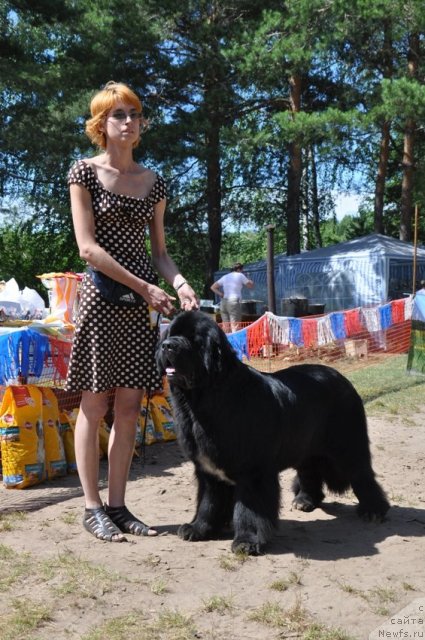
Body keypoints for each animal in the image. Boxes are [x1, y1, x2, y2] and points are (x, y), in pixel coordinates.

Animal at [156, 312, 388, 556]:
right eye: (170, 334)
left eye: (193, 340)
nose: (167, 345)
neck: (203, 402)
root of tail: (340, 377)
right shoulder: (208, 471)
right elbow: (208, 502)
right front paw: (199, 528)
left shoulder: (252, 471)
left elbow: (249, 509)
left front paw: (247, 541)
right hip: (305, 446)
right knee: (309, 471)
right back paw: (305, 500)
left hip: (348, 445)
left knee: (362, 474)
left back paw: (373, 511)